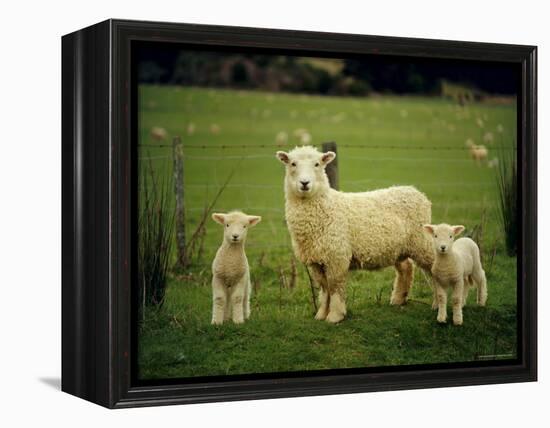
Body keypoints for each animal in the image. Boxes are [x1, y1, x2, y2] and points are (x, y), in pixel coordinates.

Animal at [276, 145, 436, 322]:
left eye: (317, 164)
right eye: (292, 163)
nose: (305, 183)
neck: (325, 207)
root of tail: (415, 191)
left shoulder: (337, 256)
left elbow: (334, 286)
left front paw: (335, 316)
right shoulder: (316, 260)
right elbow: (324, 288)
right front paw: (321, 314)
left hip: (421, 241)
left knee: (435, 269)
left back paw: (438, 304)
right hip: (398, 247)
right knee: (406, 267)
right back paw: (398, 299)